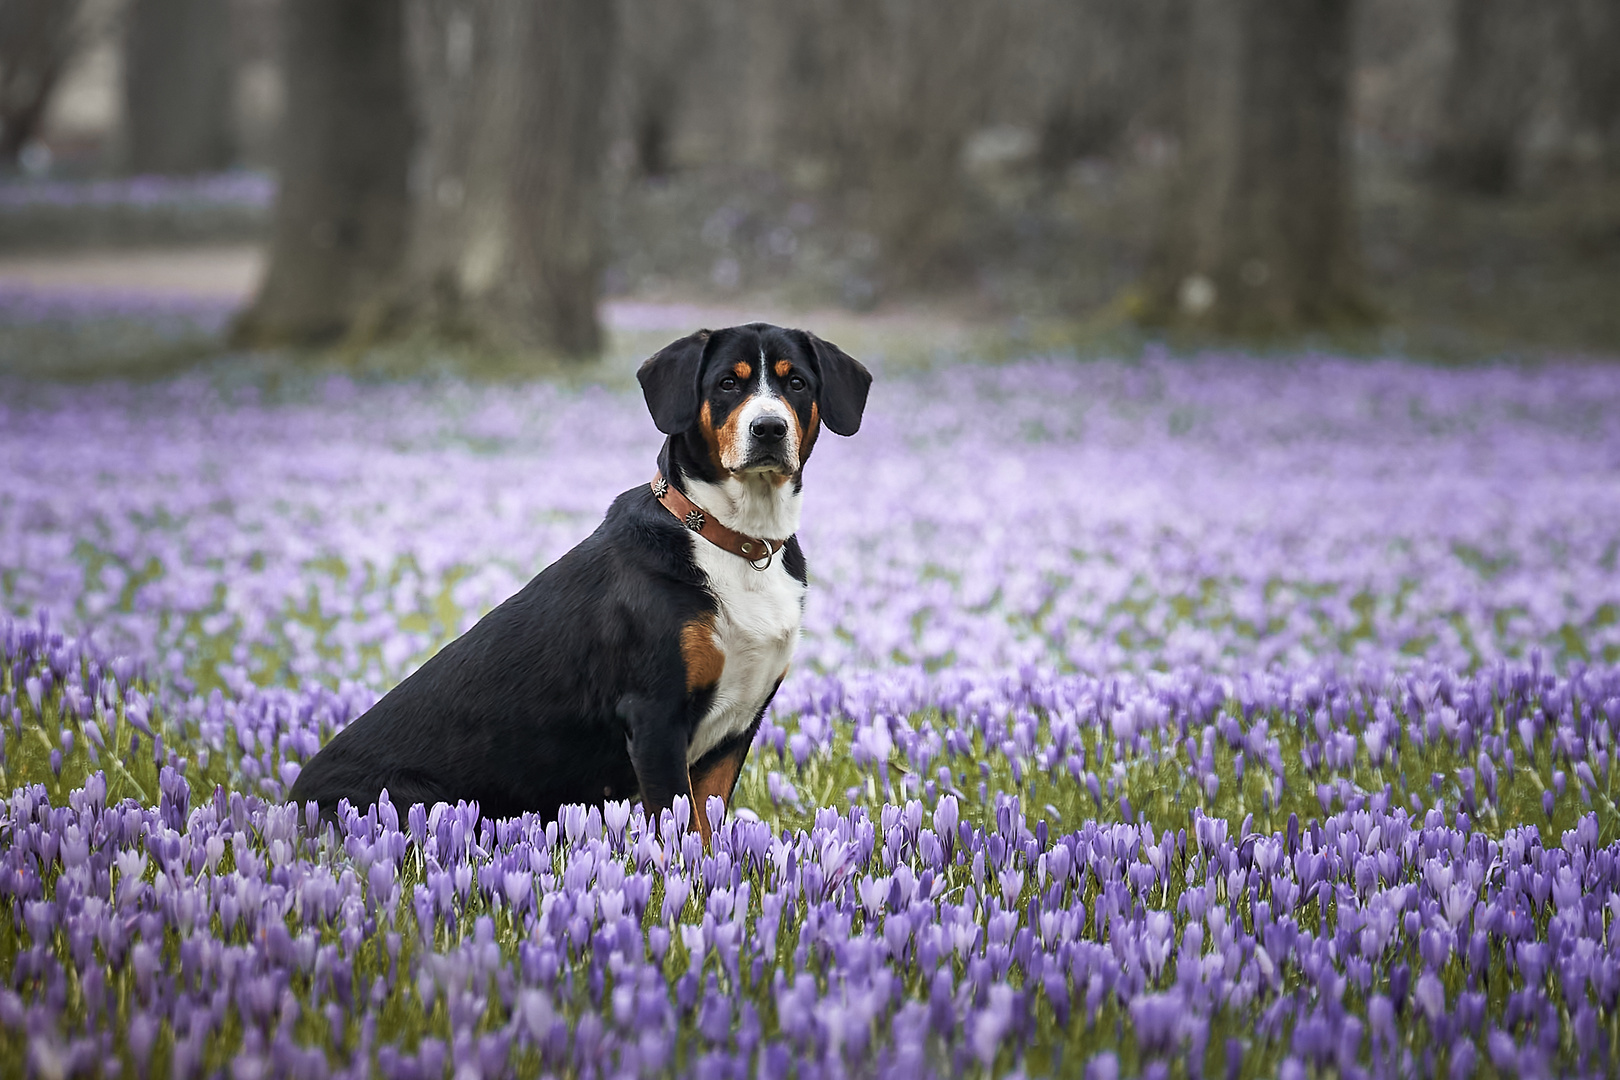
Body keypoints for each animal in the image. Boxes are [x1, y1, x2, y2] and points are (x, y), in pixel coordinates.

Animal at [291, 320, 874, 835]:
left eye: (796, 382)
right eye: (728, 383)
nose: (769, 428)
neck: (734, 539)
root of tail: (292, 801)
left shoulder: (734, 730)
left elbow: (708, 827)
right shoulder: (655, 717)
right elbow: (682, 831)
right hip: (418, 800)